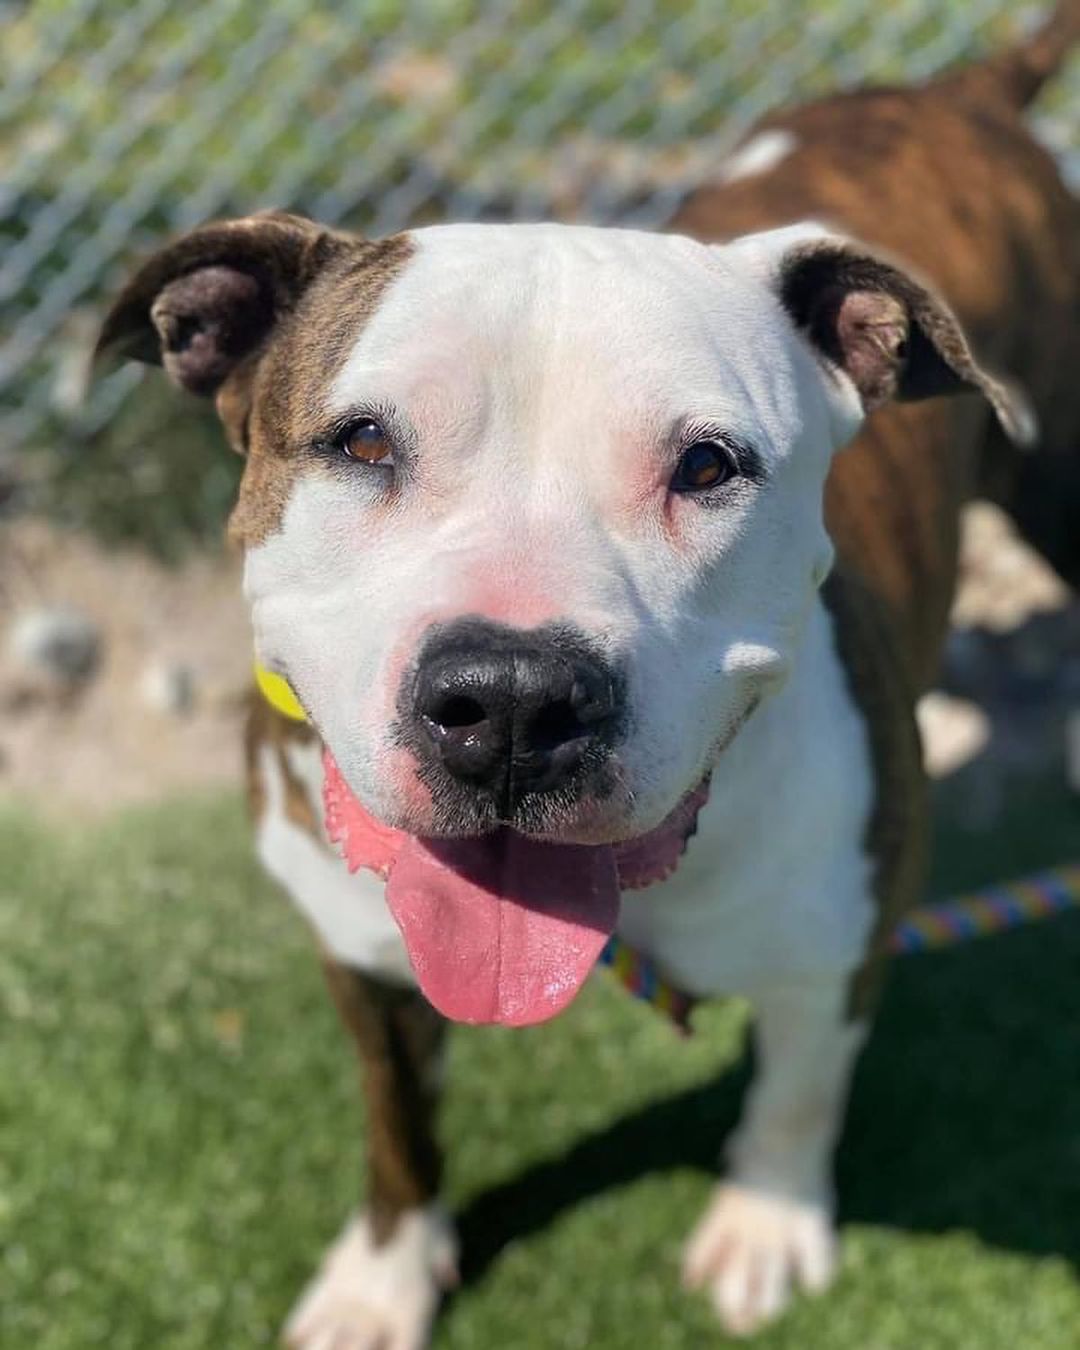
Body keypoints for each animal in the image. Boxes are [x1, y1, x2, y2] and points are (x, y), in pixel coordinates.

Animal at [97, 7, 1074, 1339]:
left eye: (708, 466)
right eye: (361, 442)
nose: (512, 699)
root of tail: (955, 93)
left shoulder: (841, 944)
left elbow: (797, 1093)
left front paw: (766, 1221)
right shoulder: (360, 957)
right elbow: (399, 1127)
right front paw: (385, 1276)